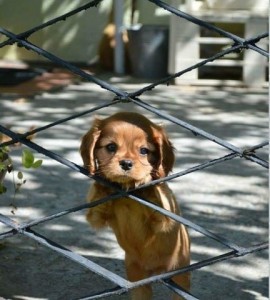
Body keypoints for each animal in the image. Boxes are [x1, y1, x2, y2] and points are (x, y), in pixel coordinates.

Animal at [80, 112, 190, 298]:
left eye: (144, 151)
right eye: (111, 147)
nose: (126, 163)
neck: (127, 196)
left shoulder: (164, 219)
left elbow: (157, 194)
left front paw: (144, 179)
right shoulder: (97, 216)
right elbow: (98, 195)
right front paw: (104, 179)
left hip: (180, 273)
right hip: (137, 280)